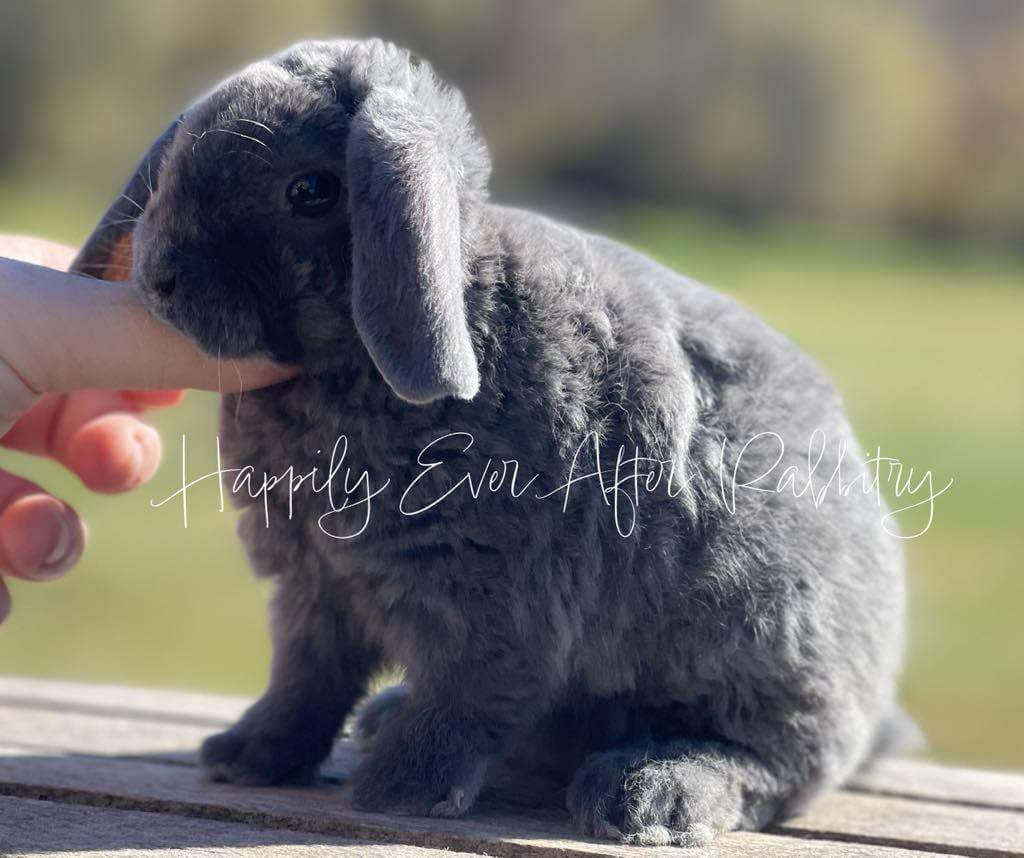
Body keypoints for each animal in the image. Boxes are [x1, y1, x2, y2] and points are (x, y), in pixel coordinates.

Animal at [74, 38, 913, 847]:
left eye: (310, 191)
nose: (159, 277)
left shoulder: (489, 588)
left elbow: (467, 691)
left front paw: (401, 791)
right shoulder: (315, 585)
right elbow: (303, 681)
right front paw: (246, 759)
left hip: (758, 635)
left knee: (776, 764)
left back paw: (649, 793)